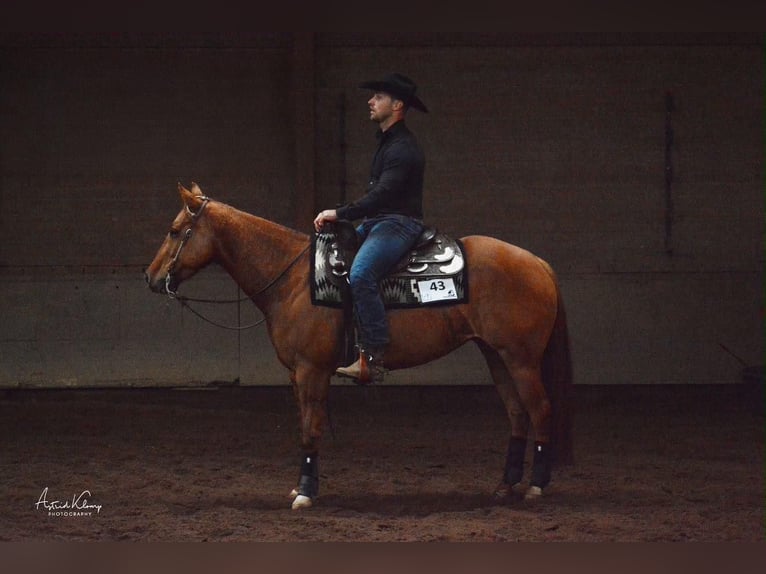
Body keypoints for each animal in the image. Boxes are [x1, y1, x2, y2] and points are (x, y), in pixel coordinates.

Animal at [145, 182, 574, 510]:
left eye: (174, 229)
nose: (150, 277)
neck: (294, 280)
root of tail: (538, 263)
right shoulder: (297, 375)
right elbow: (305, 424)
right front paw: (303, 485)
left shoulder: (312, 370)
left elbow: (311, 428)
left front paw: (305, 493)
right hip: (495, 355)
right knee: (517, 414)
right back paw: (505, 486)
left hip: (521, 359)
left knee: (540, 409)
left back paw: (536, 486)